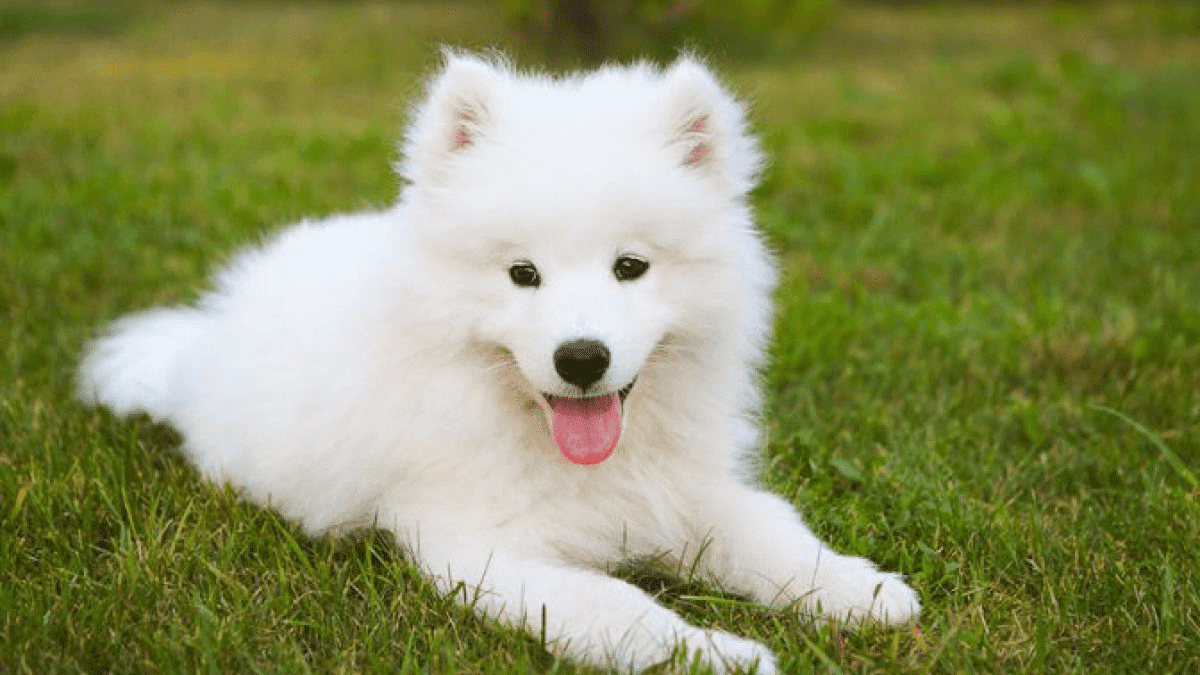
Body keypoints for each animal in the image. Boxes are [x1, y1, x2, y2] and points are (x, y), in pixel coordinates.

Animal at [82, 51, 916, 667]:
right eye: (523, 273)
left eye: (631, 267)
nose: (581, 358)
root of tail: (204, 335)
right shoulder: (479, 547)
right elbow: (617, 606)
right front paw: (714, 653)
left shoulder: (684, 492)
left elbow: (773, 533)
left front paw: (859, 590)